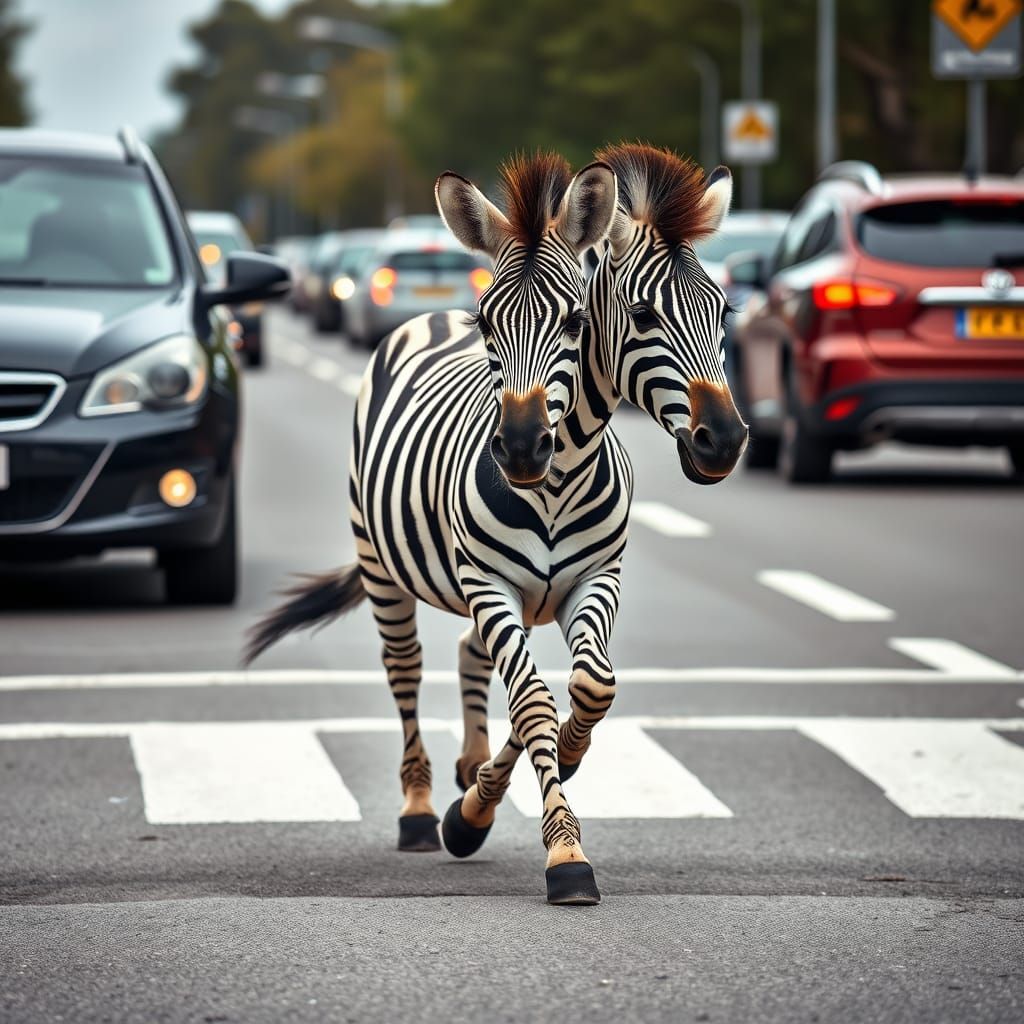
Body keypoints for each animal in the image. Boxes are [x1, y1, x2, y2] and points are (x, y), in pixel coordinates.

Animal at [245, 151, 624, 905]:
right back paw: (421, 812)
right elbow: (533, 702)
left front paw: (559, 758)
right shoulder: (490, 582)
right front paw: (563, 853)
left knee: (468, 652)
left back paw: (469, 771)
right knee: (407, 670)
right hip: (381, 564)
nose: (520, 448)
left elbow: (590, 687)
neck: (554, 487)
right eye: (488, 321)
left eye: (574, 321)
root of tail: (430, 315)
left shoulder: (594, 579)